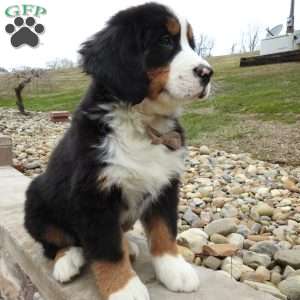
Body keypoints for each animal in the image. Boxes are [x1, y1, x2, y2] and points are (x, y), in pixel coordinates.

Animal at [25, 2, 213, 300]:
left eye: (191, 43)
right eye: (165, 40)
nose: (207, 73)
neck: (142, 123)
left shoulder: (166, 182)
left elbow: (164, 230)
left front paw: (174, 269)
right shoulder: (94, 193)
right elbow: (107, 248)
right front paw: (124, 288)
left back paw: (129, 246)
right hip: (36, 198)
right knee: (56, 242)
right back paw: (68, 260)